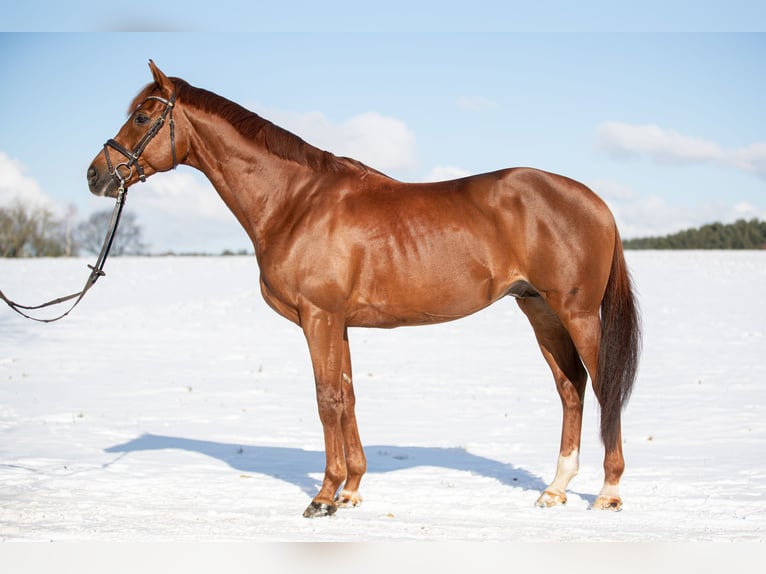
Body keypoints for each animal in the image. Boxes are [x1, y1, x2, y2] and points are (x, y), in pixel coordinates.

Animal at [88, 60, 640, 520]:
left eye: (142, 116)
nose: (96, 175)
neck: (295, 201)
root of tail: (595, 201)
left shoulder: (319, 317)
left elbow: (326, 398)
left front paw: (322, 496)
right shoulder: (339, 323)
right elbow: (348, 396)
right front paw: (351, 491)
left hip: (576, 312)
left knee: (603, 384)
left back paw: (609, 492)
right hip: (540, 310)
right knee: (571, 388)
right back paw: (556, 488)